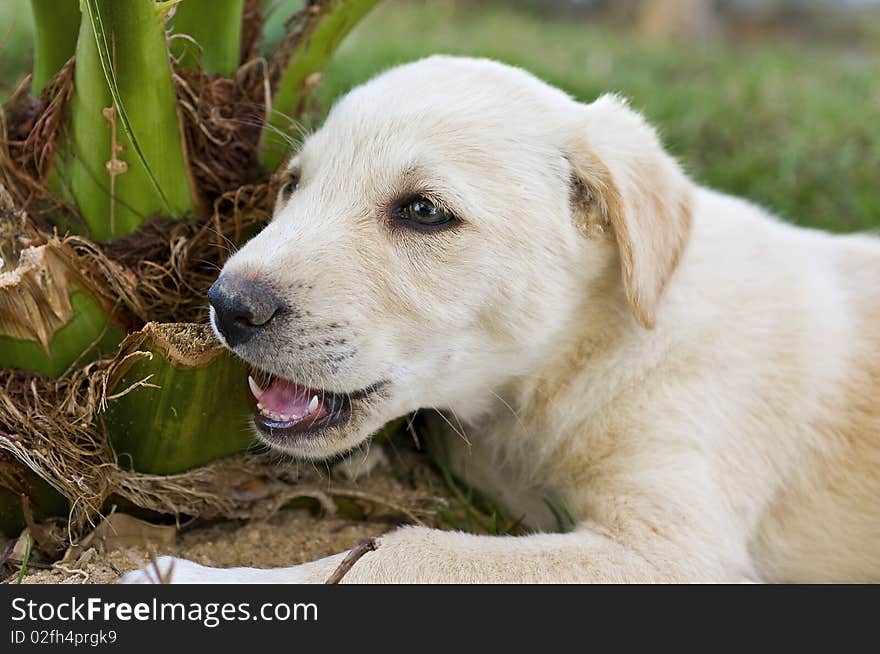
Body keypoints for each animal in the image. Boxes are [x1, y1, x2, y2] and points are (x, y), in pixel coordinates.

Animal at [118, 56, 880, 584]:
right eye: (292, 185)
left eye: (423, 211)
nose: (227, 304)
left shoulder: (672, 553)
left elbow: (404, 552)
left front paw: (188, 580)